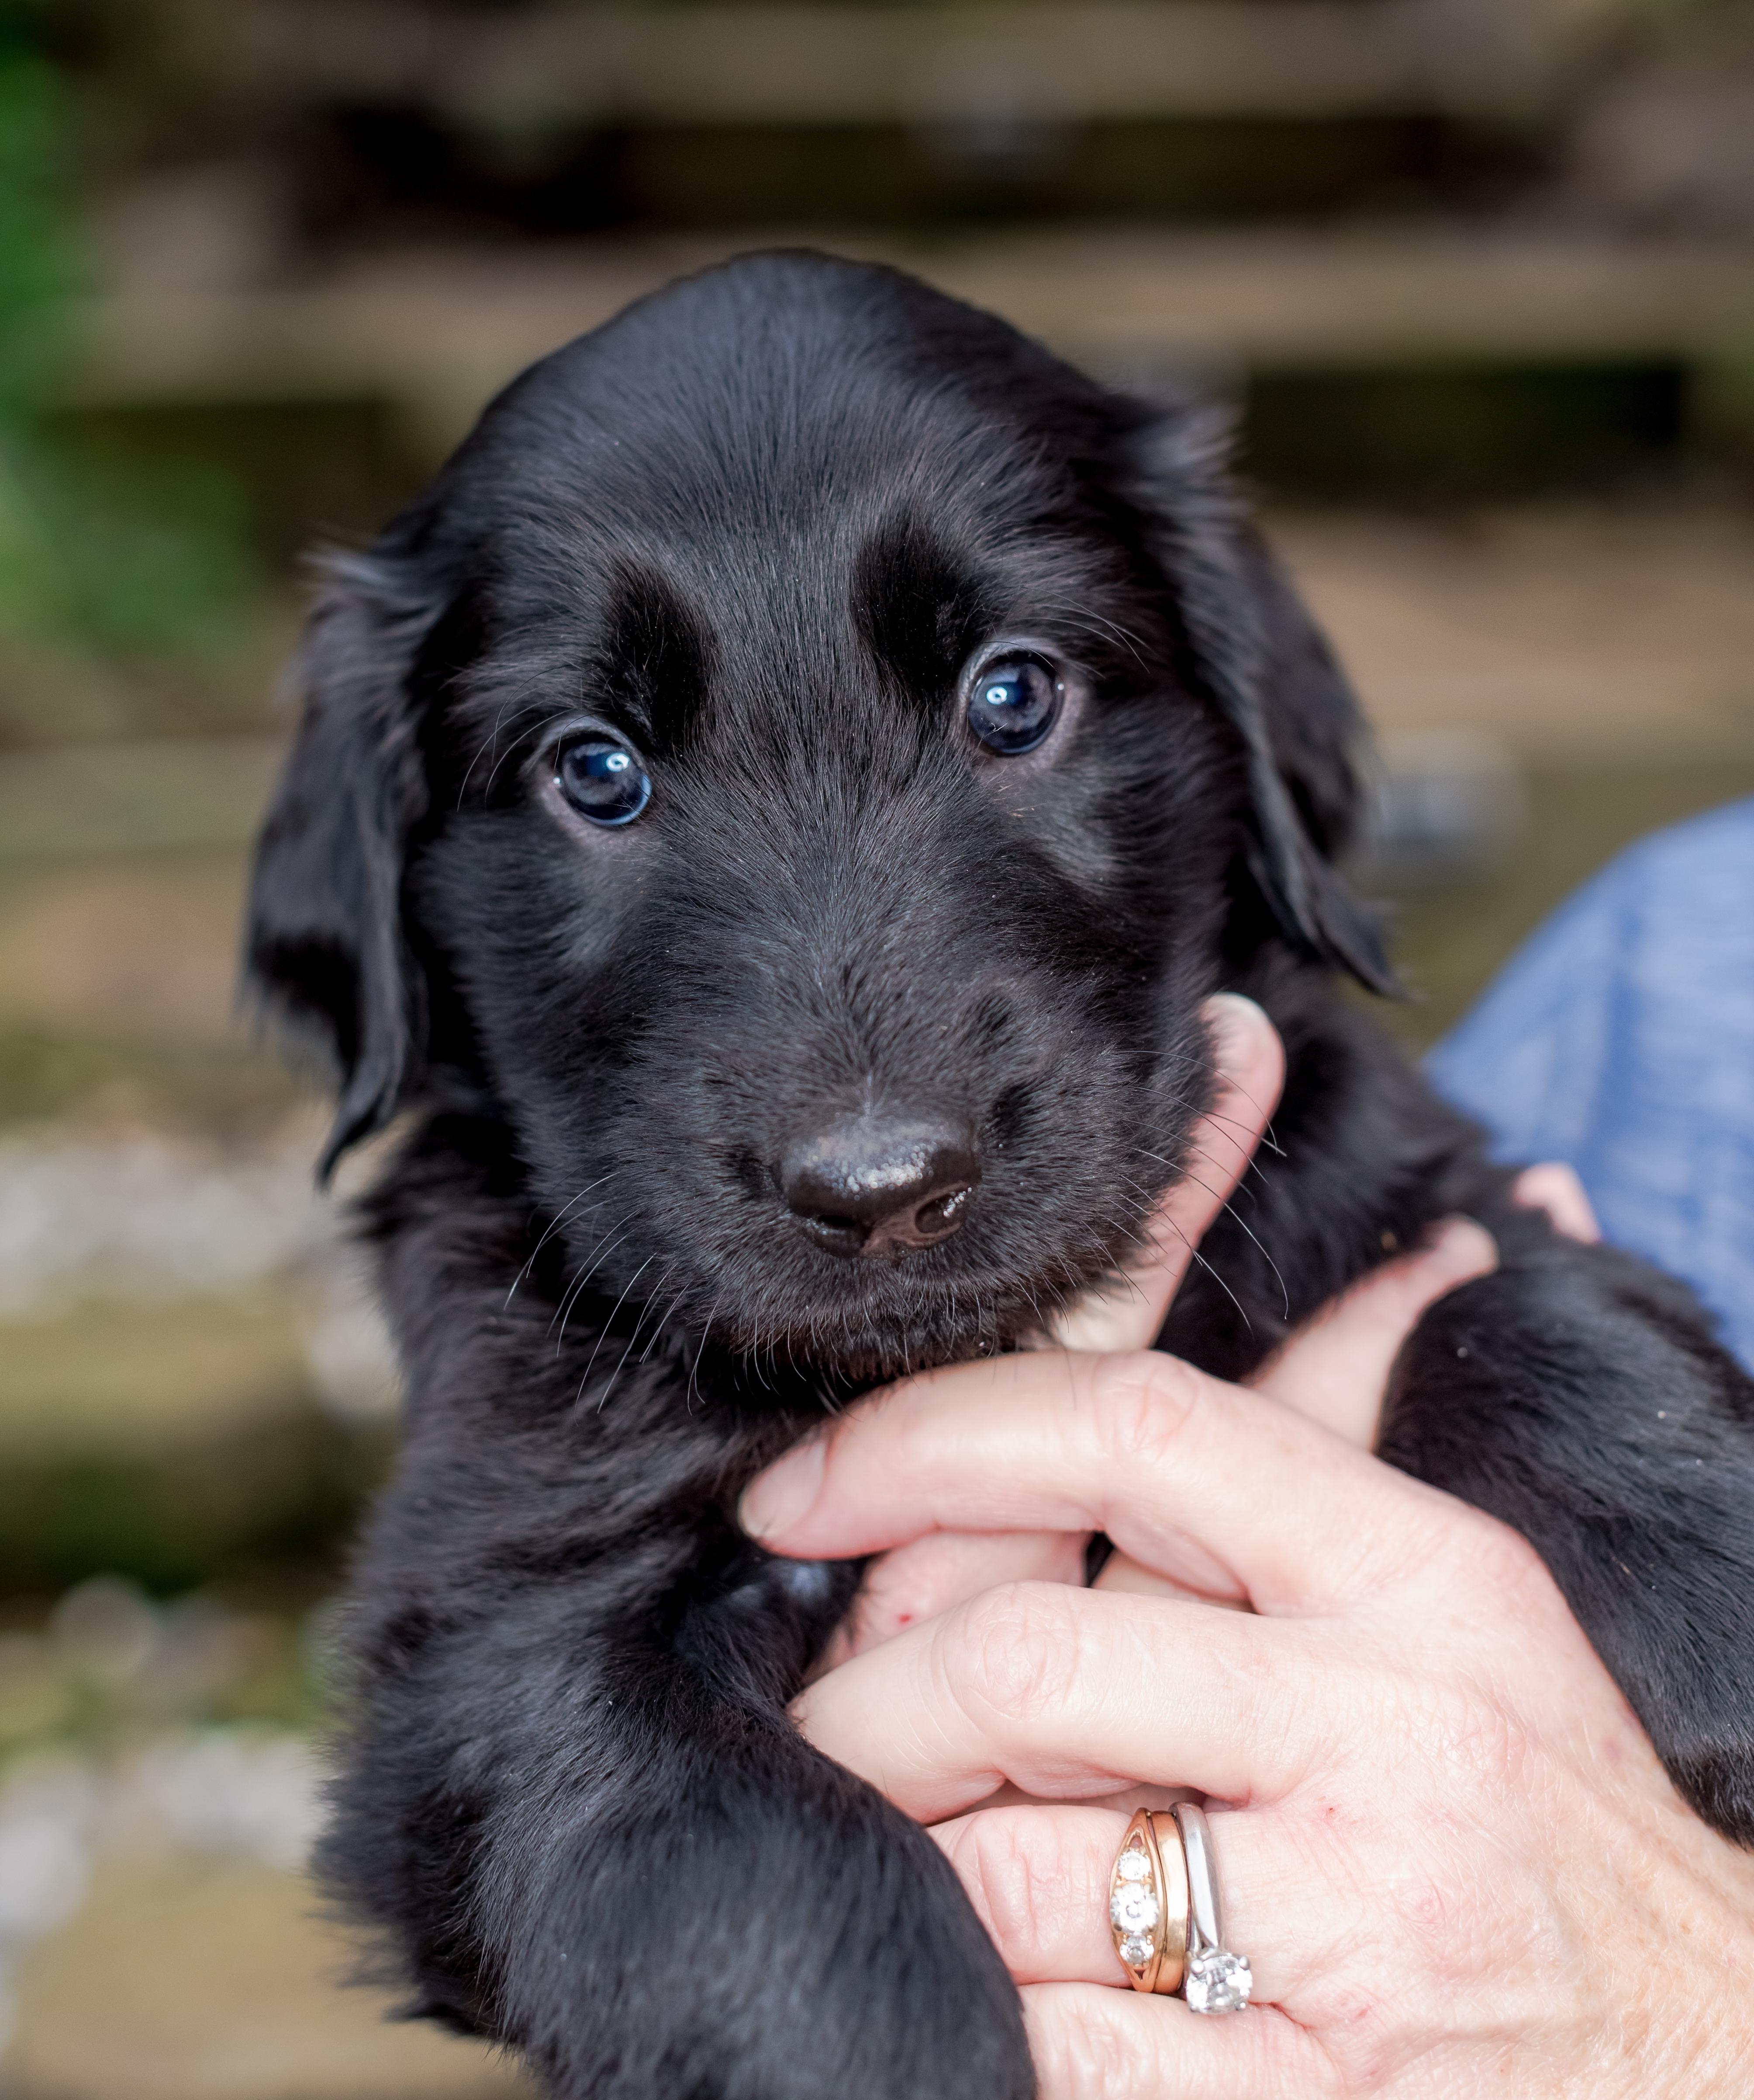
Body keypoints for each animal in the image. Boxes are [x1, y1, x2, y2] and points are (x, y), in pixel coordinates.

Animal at [246, 251, 1754, 2100]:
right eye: (593, 767)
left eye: (1013, 692)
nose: (880, 1186)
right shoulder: (492, 1639)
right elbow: (770, 1883)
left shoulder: (1403, 1175)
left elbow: (1517, 1304)